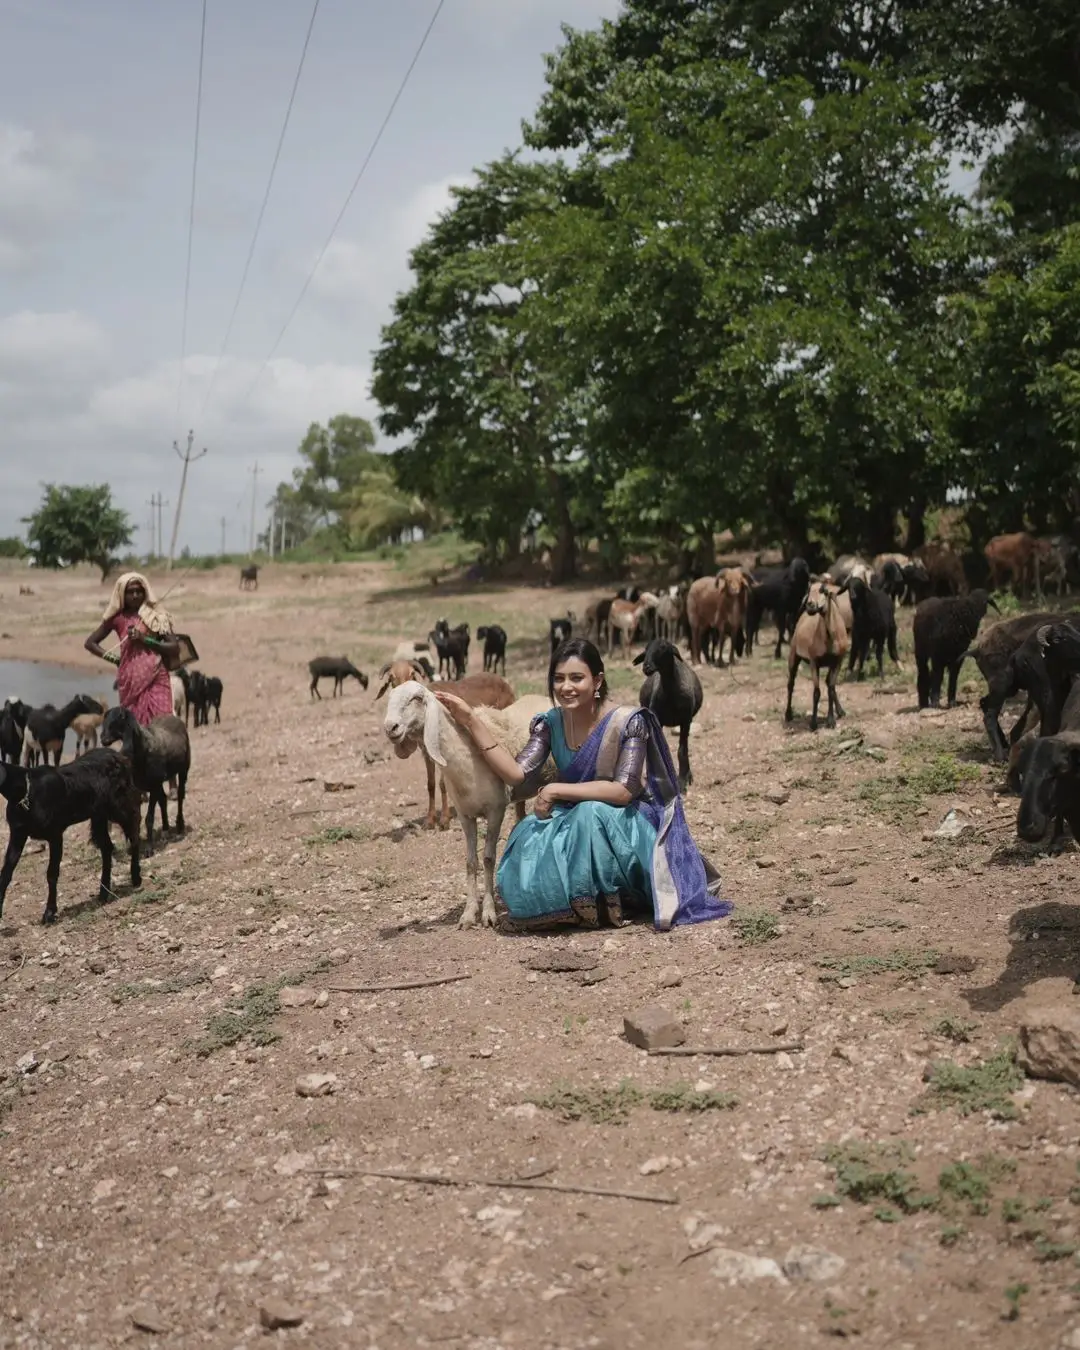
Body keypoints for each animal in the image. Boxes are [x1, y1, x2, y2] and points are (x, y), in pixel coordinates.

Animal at [0, 750, 141, 928]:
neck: (25, 791)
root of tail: (119, 756)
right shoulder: (18, 833)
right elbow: (6, 873)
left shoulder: (55, 834)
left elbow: (52, 873)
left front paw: (49, 913)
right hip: (98, 814)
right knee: (107, 847)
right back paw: (103, 892)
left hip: (120, 804)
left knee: (134, 832)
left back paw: (136, 877)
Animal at [101, 702, 190, 847]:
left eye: (115, 721)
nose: (103, 739)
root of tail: (172, 716)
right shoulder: (139, 788)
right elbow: (137, 817)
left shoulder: (153, 785)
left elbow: (149, 818)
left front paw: (149, 847)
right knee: (163, 800)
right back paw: (165, 829)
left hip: (183, 769)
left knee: (180, 795)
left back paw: (180, 825)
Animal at [380, 685, 548, 928]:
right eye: (389, 697)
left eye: (417, 698)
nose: (390, 727)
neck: (465, 760)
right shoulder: (464, 815)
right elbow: (470, 862)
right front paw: (469, 913)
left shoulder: (495, 810)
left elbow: (488, 859)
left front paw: (488, 912)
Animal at [631, 639, 702, 788]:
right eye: (646, 650)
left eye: (663, 648)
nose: (646, 667)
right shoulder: (657, 718)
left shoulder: (686, 720)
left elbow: (682, 750)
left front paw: (683, 780)